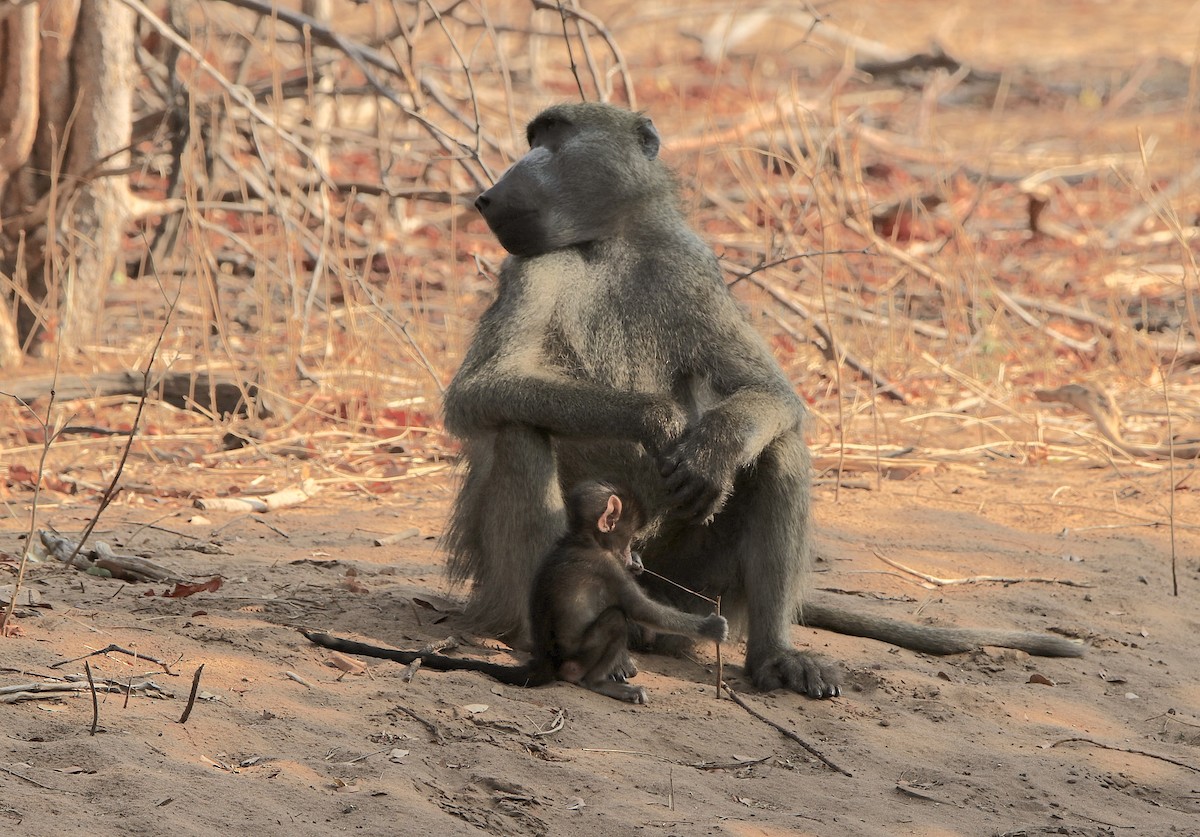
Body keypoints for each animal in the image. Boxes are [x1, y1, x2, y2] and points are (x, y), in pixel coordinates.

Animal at [305, 480, 728, 704]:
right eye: (630, 536)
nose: (631, 555)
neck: (582, 539)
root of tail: (546, 662)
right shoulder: (604, 567)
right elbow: (640, 609)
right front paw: (709, 626)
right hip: (577, 659)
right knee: (614, 621)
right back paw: (599, 683)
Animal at [440, 102, 1082, 702]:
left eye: (555, 137)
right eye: (539, 136)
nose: (490, 195)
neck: (609, 244)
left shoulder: (694, 269)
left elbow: (771, 395)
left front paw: (713, 450)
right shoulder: (531, 269)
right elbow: (480, 388)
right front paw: (655, 418)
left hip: (691, 590)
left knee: (780, 450)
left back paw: (776, 658)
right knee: (520, 429)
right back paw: (540, 636)